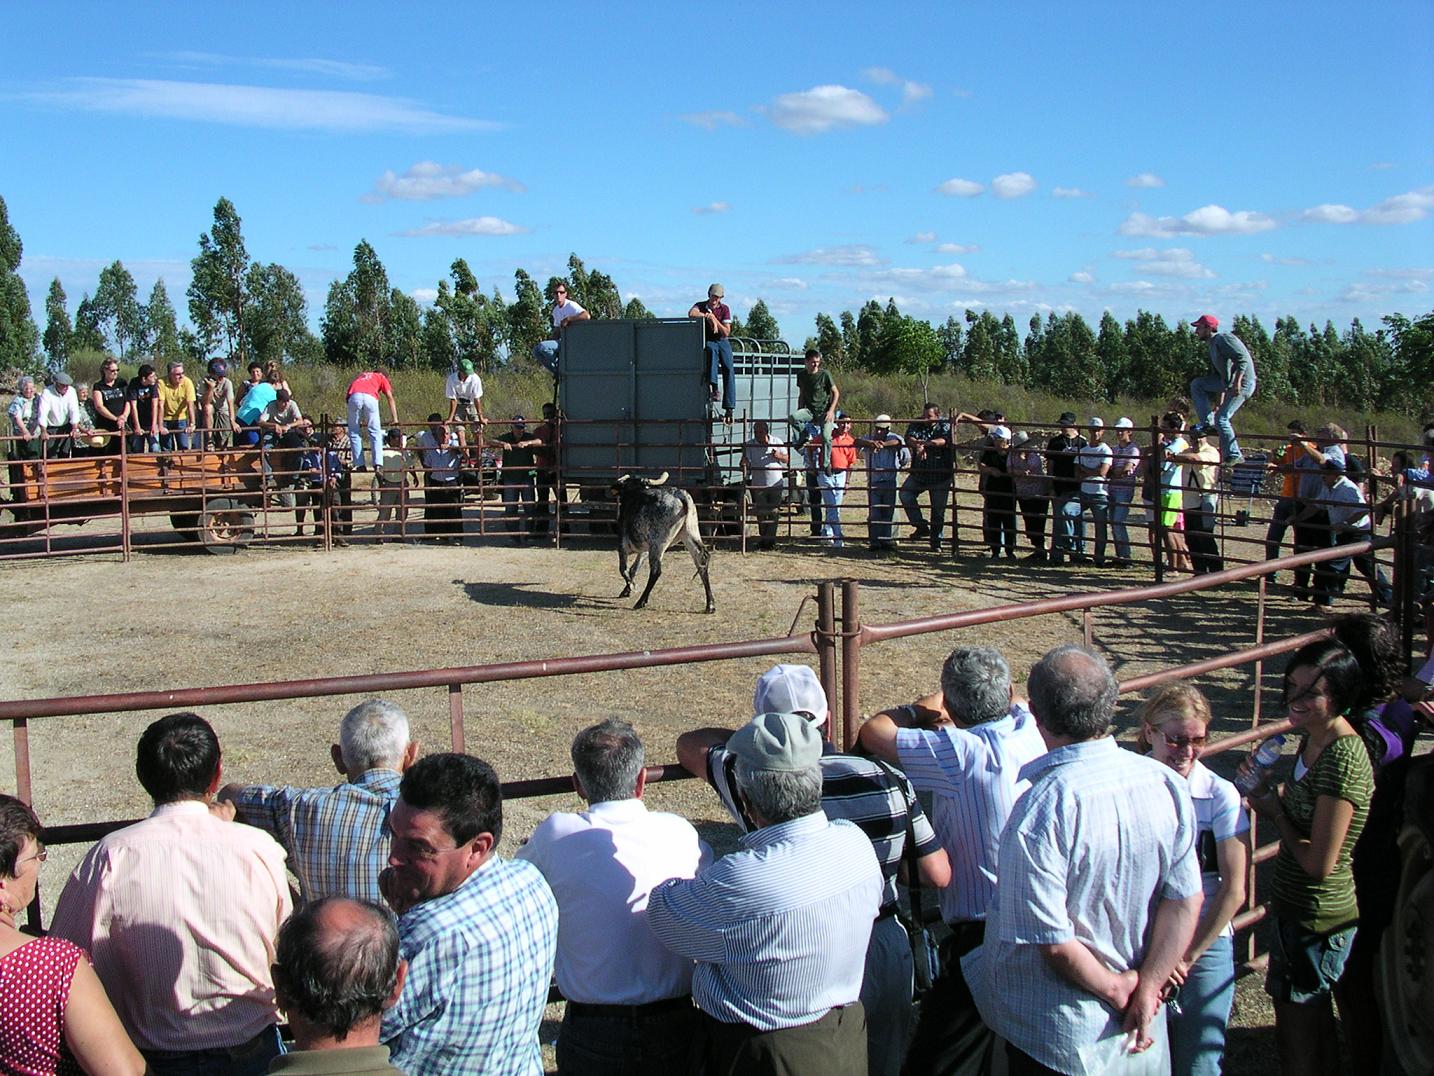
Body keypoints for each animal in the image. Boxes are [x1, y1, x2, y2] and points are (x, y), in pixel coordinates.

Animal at [608, 473, 714, 614]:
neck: (634, 493)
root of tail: (680, 495)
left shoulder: (623, 546)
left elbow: (624, 569)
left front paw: (632, 586)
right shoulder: (644, 550)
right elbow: (634, 569)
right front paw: (626, 590)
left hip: (658, 544)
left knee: (656, 571)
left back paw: (641, 602)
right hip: (689, 534)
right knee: (701, 560)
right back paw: (710, 604)